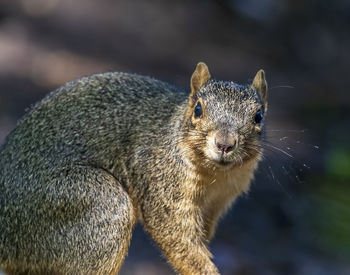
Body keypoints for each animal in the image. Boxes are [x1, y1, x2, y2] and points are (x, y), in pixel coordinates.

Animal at [0, 62, 268, 275]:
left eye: (258, 116)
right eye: (198, 109)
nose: (224, 143)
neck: (216, 175)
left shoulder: (215, 204)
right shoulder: (161, 181)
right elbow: (174, 236)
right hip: (94, 205)